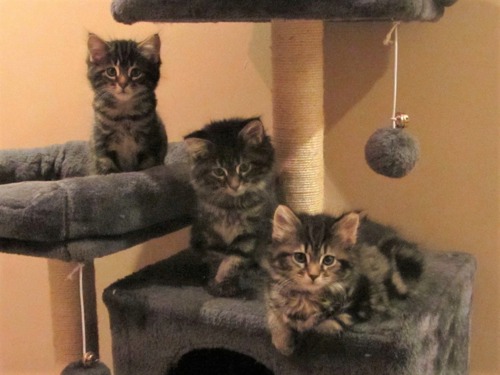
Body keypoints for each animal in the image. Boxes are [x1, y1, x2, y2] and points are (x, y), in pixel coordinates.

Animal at [88, 33, 168, 174]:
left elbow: (146, 166)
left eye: (136, 72)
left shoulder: (151, 145)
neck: (124, 115)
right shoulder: (100, 145)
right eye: (111, 71)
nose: (123, 84)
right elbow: (106, 169)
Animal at [184, 117, 278, 296]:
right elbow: (217, 258)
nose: (234, 185)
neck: (231, 207)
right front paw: (215, 283)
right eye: (219, 172)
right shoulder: (211, 232)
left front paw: (225, 283)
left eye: (244, 167)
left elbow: (233, 258)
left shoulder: (250, 230)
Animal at [264, 206, 424, 356]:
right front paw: (283, 342)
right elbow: (274, 315)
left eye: (328, 260)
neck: (306, 296)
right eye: (300, 257)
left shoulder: (361, 303)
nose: (313, 275)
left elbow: (321, 324)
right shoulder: (275, 294)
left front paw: (302, 330)